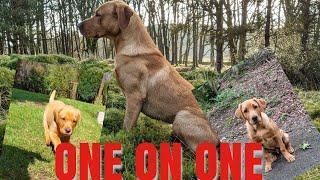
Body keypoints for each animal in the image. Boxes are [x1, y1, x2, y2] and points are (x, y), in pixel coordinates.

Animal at [78, 0, 220, 151]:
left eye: (98, 14)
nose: (78, 25)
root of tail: (217, 139)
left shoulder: (134, 97)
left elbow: (126, 125)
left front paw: (121, 142)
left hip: (181, 116)